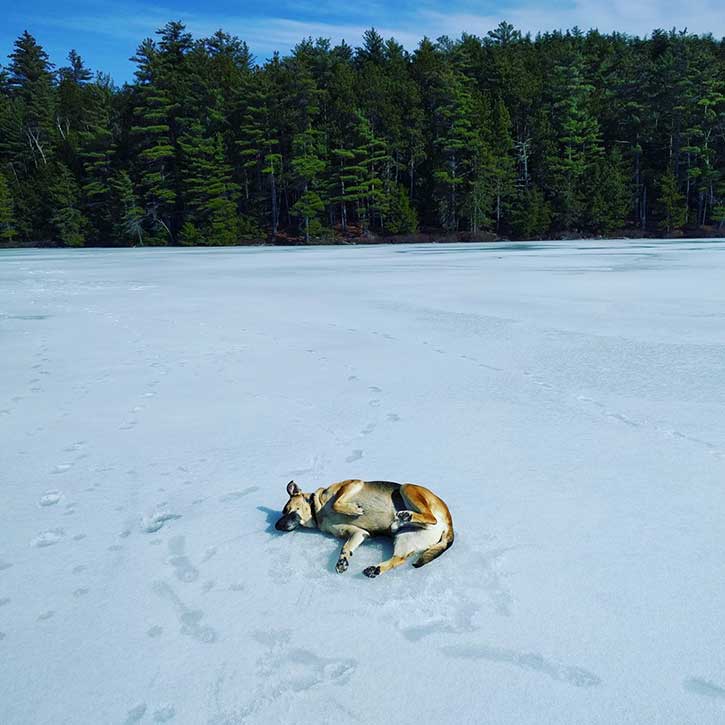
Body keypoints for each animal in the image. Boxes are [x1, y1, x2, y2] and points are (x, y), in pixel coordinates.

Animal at [276, 478, 452, 580]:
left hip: (407, 489)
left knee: (431, 518)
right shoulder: (358, 532)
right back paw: (375, 569)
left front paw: (353, 510)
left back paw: (406, 515)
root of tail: (449, 523)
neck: (318, 512)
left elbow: (336, 503)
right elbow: (346, 547)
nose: (277, 526)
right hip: (406, 538)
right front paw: (342, 561)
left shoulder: (350, 485)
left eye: (286, 510)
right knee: (399, 559)